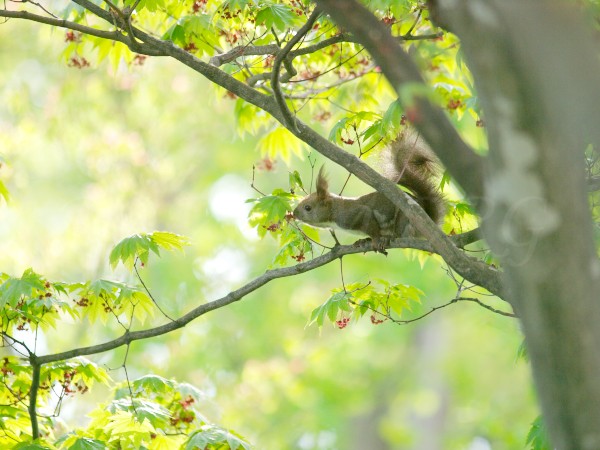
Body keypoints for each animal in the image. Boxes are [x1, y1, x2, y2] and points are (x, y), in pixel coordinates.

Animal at [292, 132, 442, 251]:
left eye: (308, 208)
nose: (293, 214)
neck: (335, 212)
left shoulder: (355, 214)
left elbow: (372, 226)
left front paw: (375, 239)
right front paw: (364, 239)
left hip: (404, 220)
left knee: (402, 233)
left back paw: (389, 237)